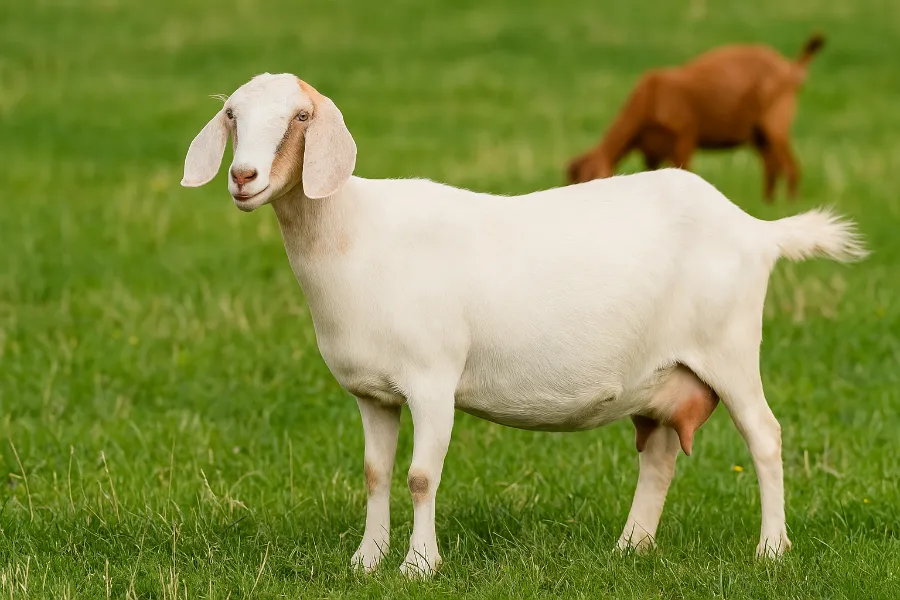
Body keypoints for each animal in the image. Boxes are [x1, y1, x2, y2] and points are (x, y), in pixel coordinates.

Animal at [181, 73, 865, 577]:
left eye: (300, 118)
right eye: (233, 115)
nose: (243, 177)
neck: (356, 230)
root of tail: (756, 230)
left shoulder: (432, 379)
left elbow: (421, 477)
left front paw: (419, 566)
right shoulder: (373, 393)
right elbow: (376, 475)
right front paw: (366, 561)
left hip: (730, 348)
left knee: (766, 438)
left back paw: (771, 551)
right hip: (665, 373)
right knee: (662, 454)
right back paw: (631, 548)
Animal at [567, 34, 826, 201]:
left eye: (593, 181)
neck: (650, 98)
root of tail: (791, 68)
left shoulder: (685, 137)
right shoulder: (651, 154)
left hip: (776, 124)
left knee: (791, 168)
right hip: (758, 134)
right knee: (773, 166)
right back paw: (767, 203)